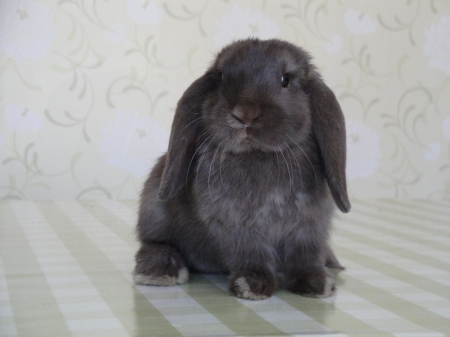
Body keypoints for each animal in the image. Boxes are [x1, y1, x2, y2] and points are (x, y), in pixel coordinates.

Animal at [134, 38, 352, 300]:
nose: (245, 114)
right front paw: (252, 286)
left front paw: (316, 285)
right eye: (221, 77)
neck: (258, 154)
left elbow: (306, 256)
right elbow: (251, 255)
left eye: (286, 79)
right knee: (155, 243)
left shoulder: (309, 226)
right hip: (155, 208)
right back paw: (159, 272)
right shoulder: (238, 227)